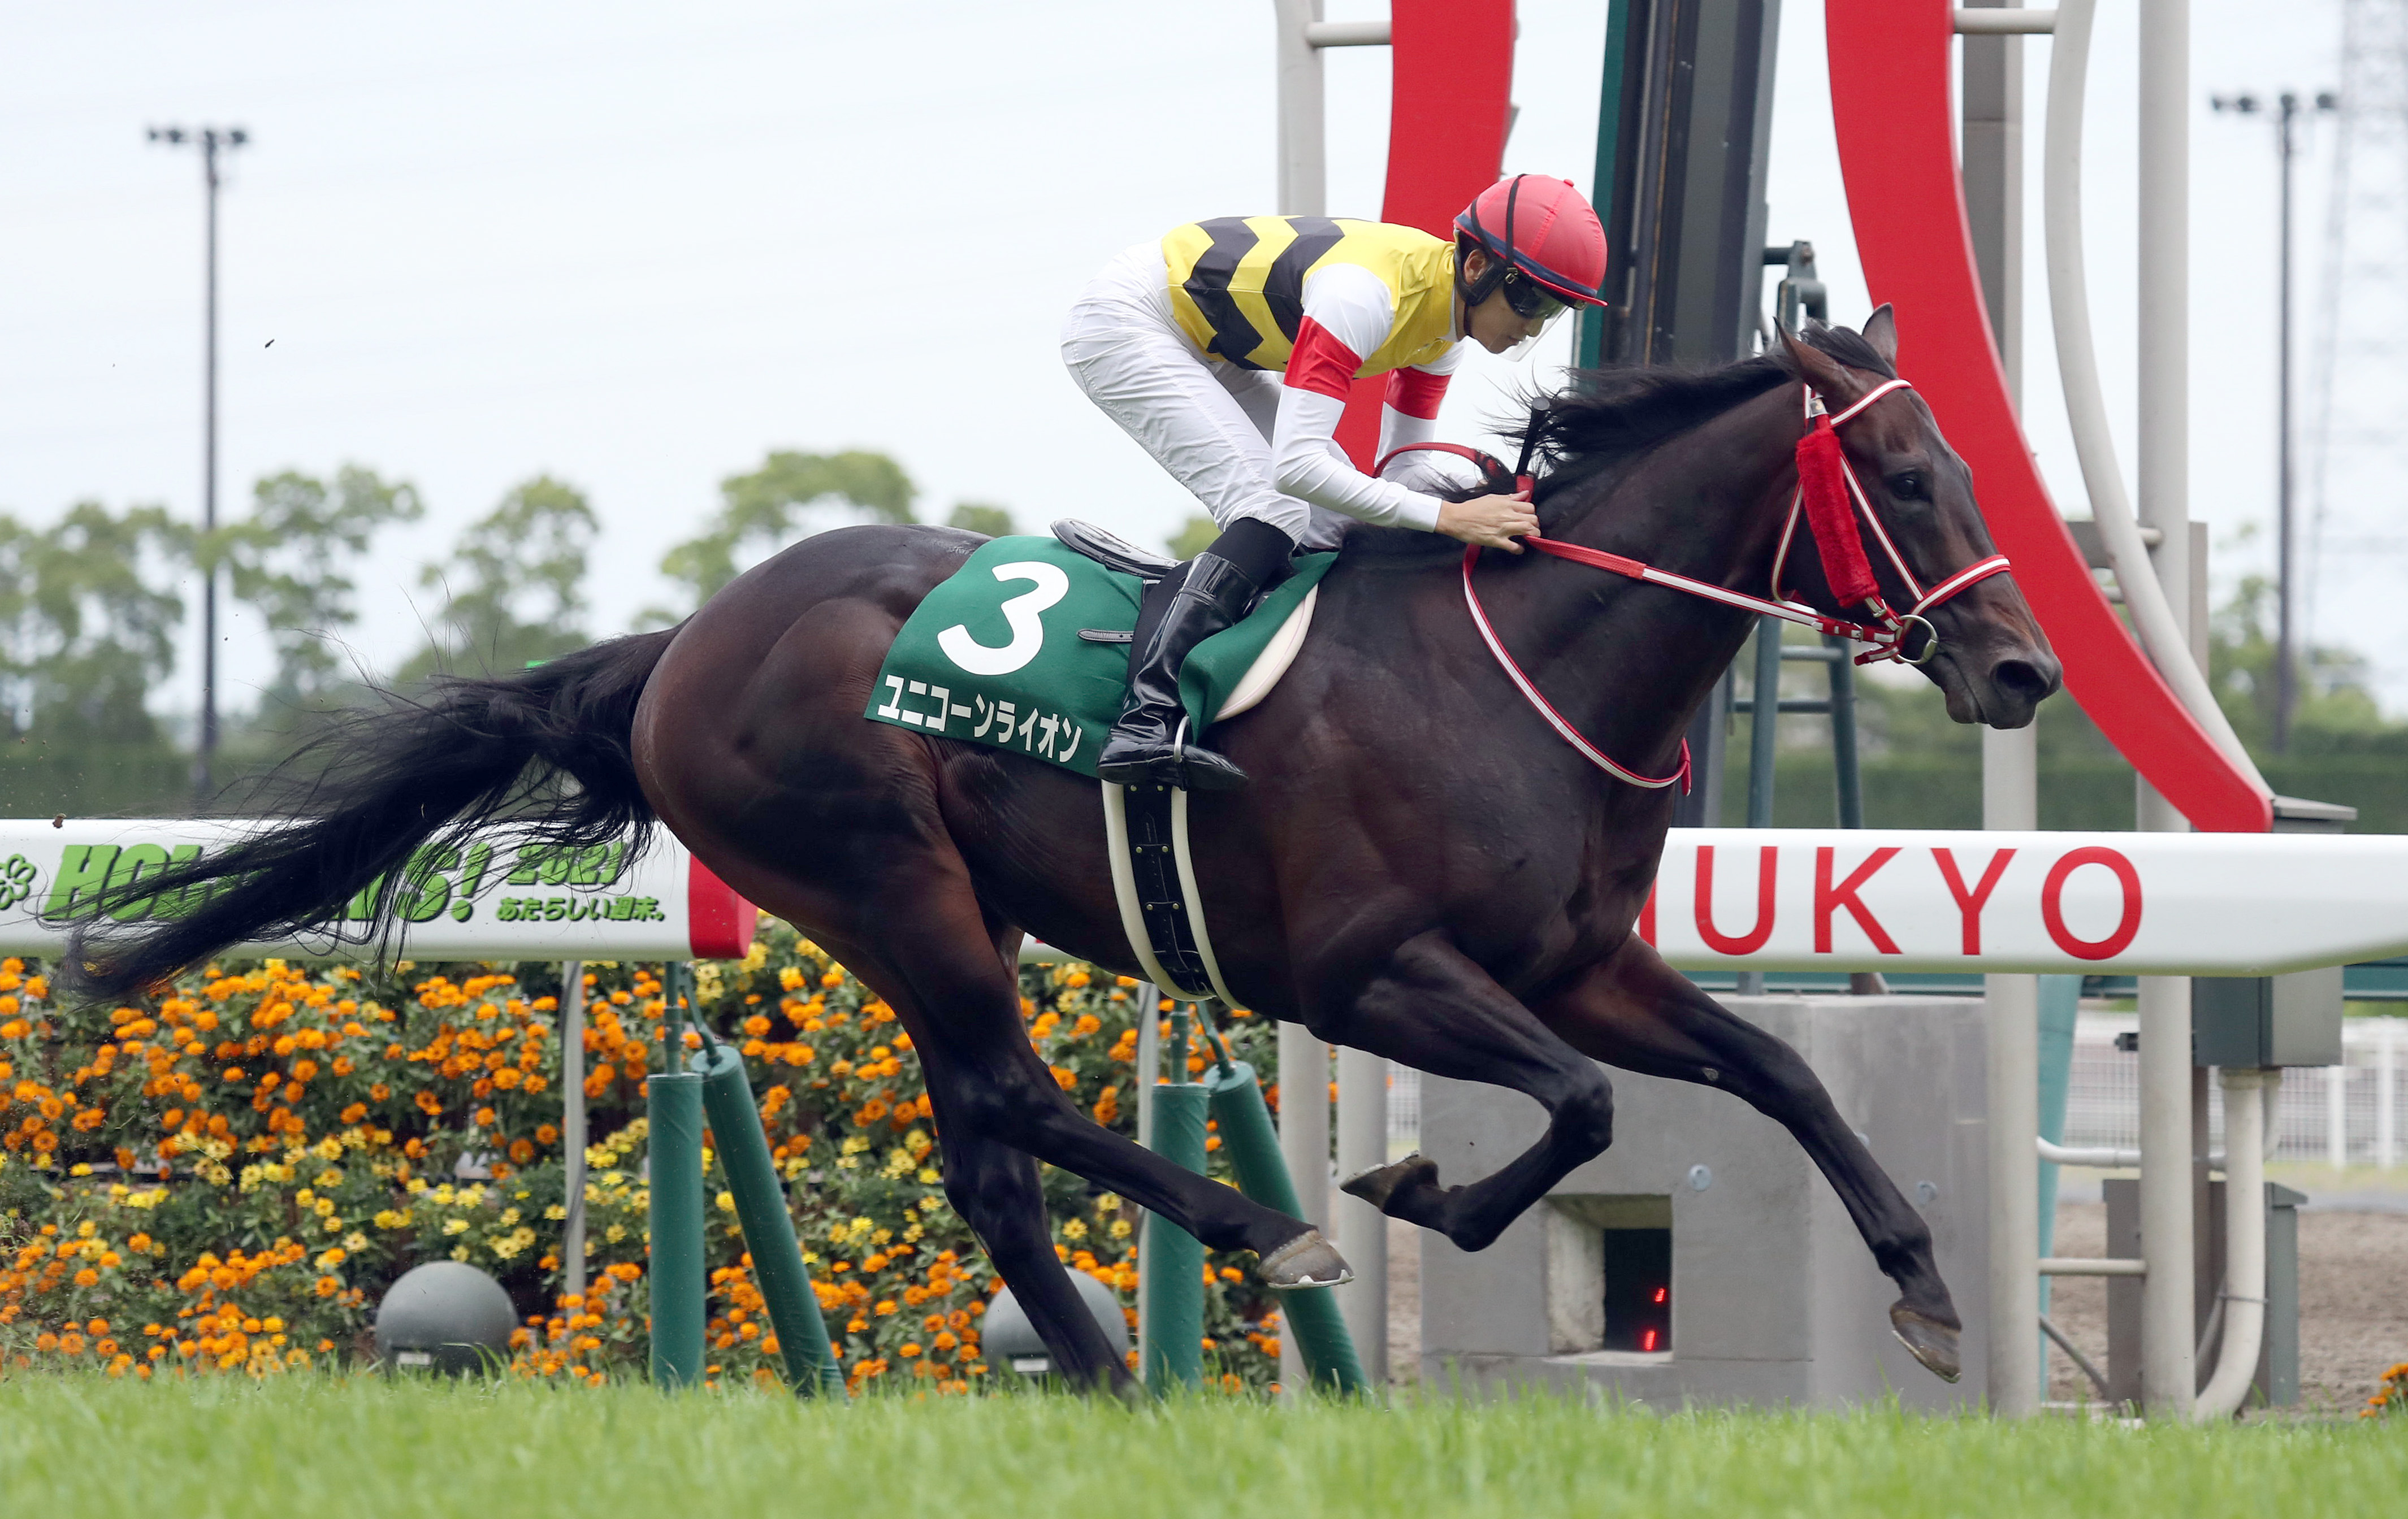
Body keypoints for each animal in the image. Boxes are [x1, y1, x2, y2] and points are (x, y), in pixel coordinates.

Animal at [74, 313, 2059, 1396]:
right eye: (1902, 471)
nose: (2023, 668)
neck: (1519, 664)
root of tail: (684, 641)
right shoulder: (1365, 972)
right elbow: (1572, 1110)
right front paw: (1406, 1194)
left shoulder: (1573, 958)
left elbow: (1774, 1071)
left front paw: (1928, 1293)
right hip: (888, 881)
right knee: (1013, 1108)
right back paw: (1253, 1233)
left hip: (914, 911)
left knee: (985, 1148)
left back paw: (1112, 1370)